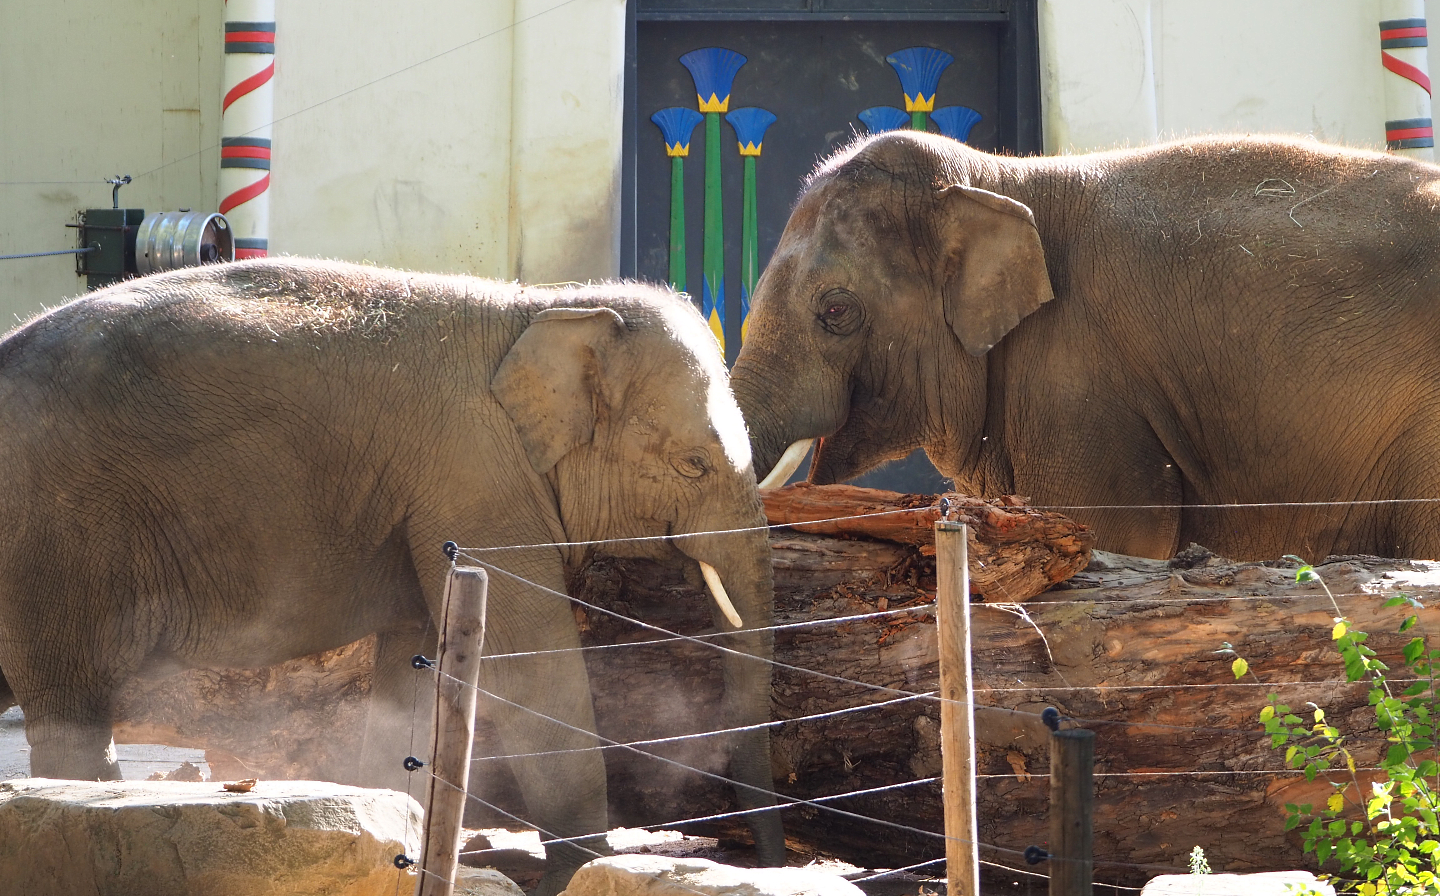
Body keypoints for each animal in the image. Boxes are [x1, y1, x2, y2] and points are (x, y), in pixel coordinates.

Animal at [0, 258, 783, 894]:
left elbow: (415, 660)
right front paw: (576, 876)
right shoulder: (477, 478)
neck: (545, 305)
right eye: (694, 465)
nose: (771, 859)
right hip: (54, 543)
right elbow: (529, 664)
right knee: (71, 708)